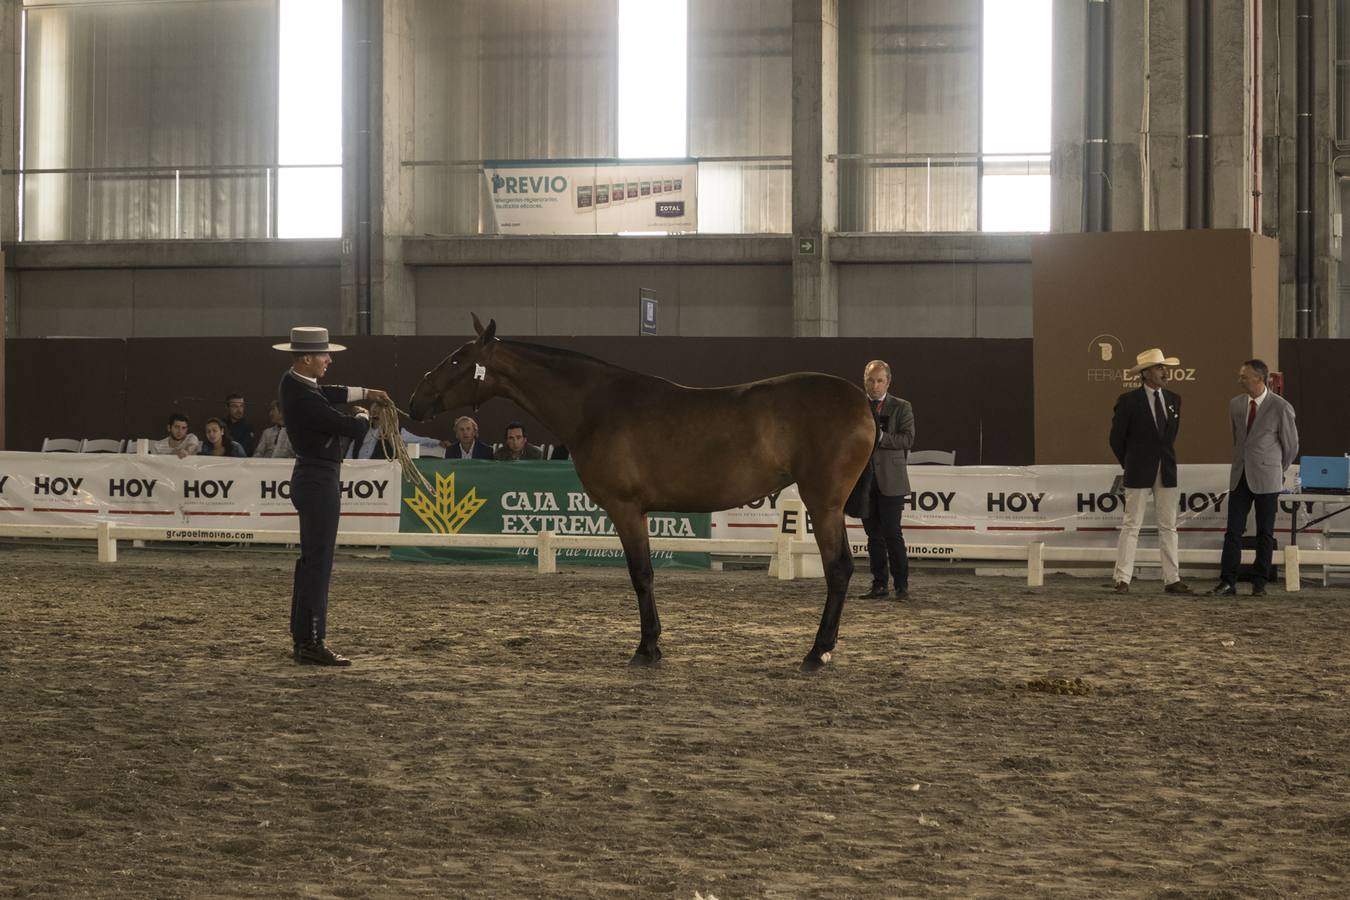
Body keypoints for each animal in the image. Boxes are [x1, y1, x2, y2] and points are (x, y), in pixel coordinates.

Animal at [407, 313, 874, 671]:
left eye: (457, 358)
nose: (414, 401)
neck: (594, 407)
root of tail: (862, 402)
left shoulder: (625, 508)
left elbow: (641, 575)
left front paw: (647, 648)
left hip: (823, 504)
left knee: (838, 570)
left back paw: (817, 652)